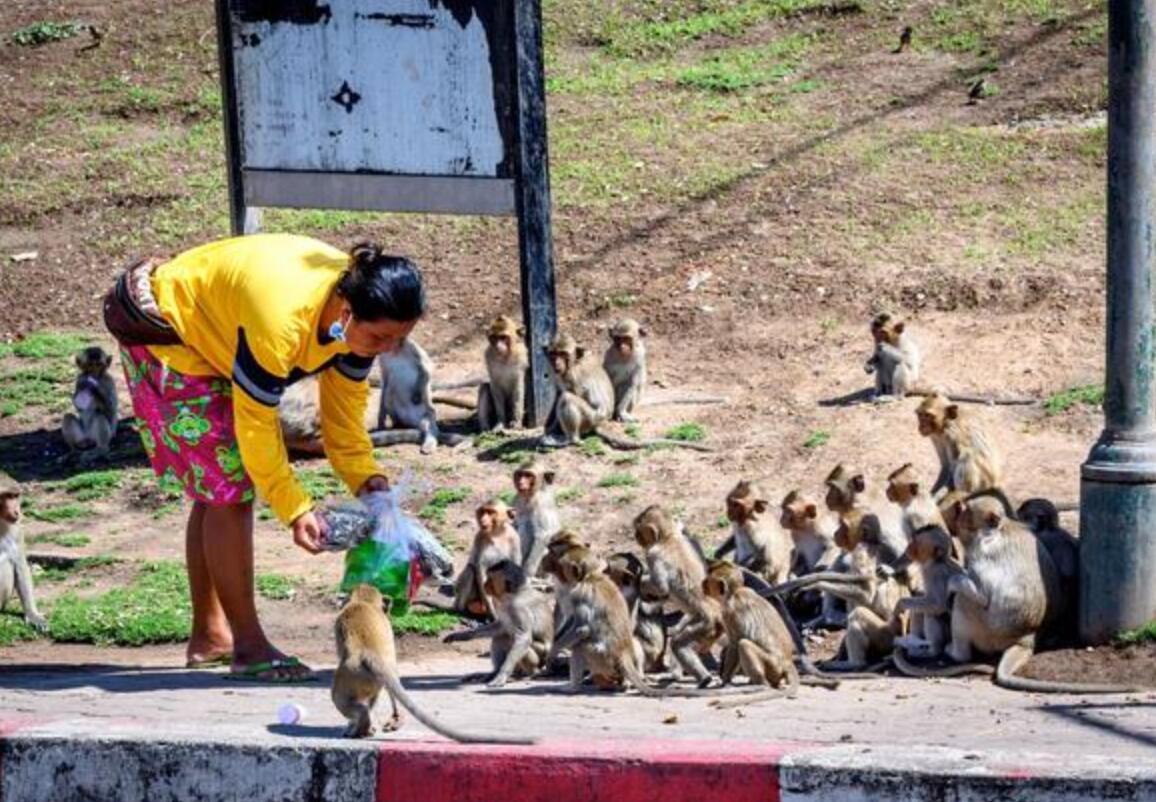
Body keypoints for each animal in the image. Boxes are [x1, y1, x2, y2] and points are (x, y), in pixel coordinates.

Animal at [0, 478, 46, 633]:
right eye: (7, 496)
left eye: (15, 496)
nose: (16, 510)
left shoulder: (16, 527)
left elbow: (19, 563)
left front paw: (32, 614)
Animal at [332, 584, 534, 748]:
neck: (364, 602)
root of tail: (369, 656)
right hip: (369, 678)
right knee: (374, 693)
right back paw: (366, 722)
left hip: (351, 674)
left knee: (339, 699)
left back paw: (362, 719)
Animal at [441, 559, 554, 693]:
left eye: (490, 579)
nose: (485, 584)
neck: (515, 592)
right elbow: (500, 627)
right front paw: (462, 635)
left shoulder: (517, 607)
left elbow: (524, 638)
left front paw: (502, 676)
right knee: (502, 637)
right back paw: (493, 673)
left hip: (541, 658)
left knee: (511, 639)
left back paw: (530, 673)